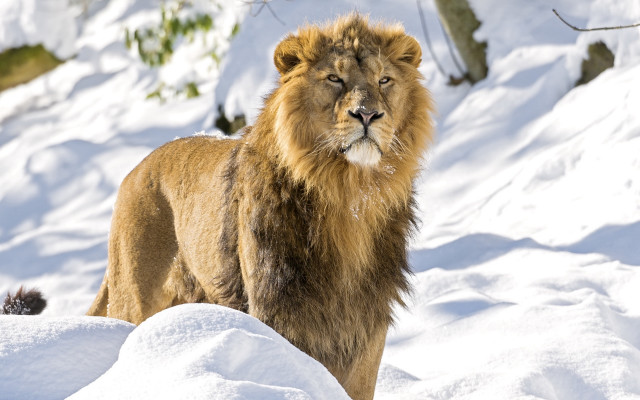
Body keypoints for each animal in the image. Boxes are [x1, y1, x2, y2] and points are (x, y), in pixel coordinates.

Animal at [87, 14, 433, 400]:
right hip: (133, 299)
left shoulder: (367, 322)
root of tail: (134, 172)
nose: (368, 114)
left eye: (384, 80)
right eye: (334, 78)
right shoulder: (278, 308)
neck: (349, 196)